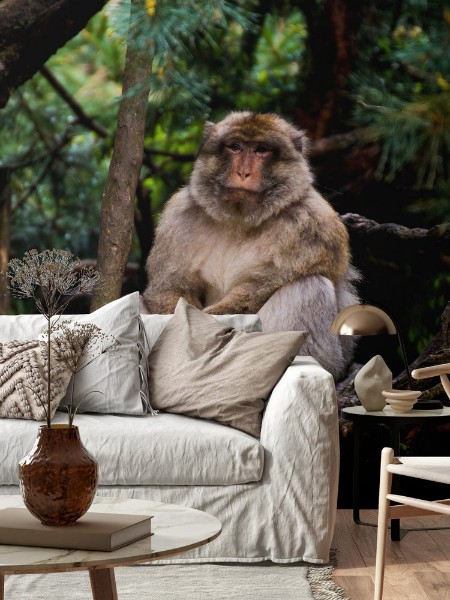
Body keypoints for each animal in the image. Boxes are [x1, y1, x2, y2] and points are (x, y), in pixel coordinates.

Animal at [142, 110, 360, 378]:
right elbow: (168, 289)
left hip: (333, 359)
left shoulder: (313, 225)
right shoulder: (178, 216)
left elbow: (260, 289)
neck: (240, 220)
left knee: (309, 286)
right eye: (235, 146)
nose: (243, 173)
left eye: (261, 149)